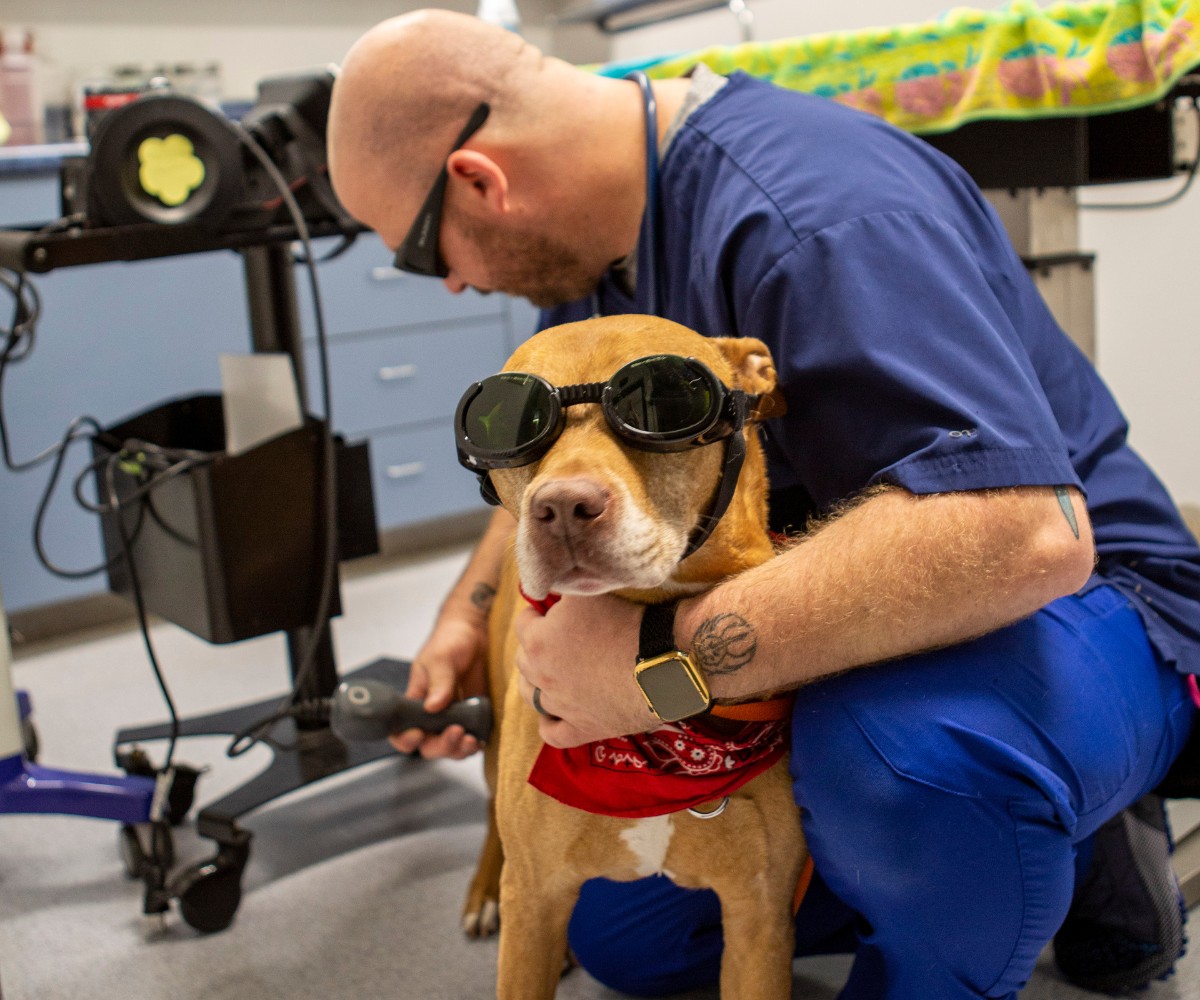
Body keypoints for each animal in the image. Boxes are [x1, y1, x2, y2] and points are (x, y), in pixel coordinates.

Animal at [458, 316, 806, 993]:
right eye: (508, 423)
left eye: (666, 401)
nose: (562, 507)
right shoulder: (533, 900)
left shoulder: (761, 919)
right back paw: (483, 889)